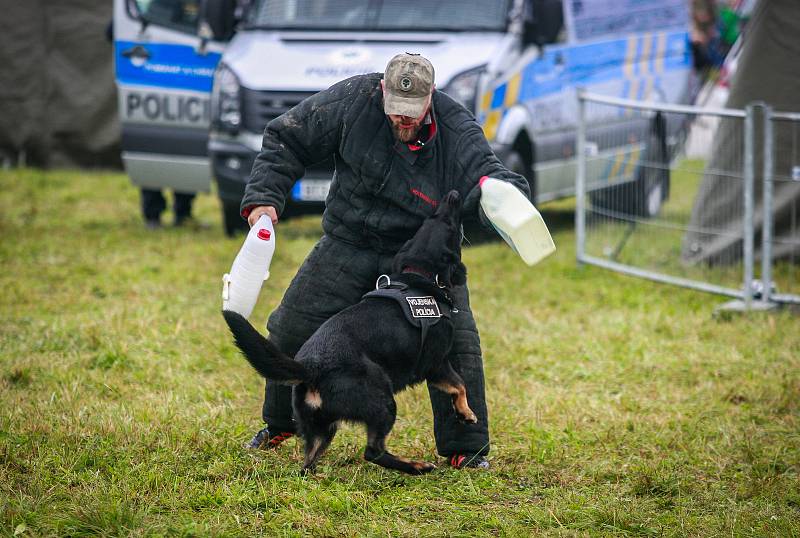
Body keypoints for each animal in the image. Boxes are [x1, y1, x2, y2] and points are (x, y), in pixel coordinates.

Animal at [222, 189, 476, 474]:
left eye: (433, 218)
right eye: (451, 226)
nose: (453, 194)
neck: (419, 276)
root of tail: (311, 368)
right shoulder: (436, 364)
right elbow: (460, 385)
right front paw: (466, 413)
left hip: (322, 428)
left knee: (307, 464)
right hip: (382, 400)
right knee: (373, 451)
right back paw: (416, 467)